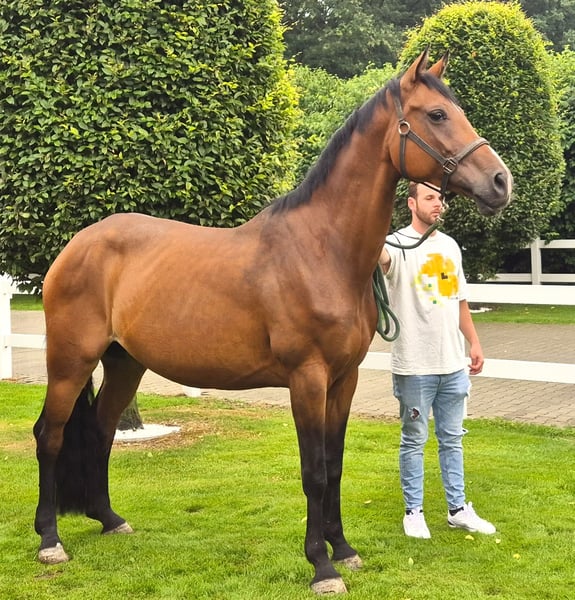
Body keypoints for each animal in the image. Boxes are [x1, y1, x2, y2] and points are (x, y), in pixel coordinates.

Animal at [33, 49, 512, 594]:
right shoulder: (307, 379)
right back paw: (50, 540)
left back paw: (111, 520)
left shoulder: (342, 381)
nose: (501, 182)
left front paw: (344, 550)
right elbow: (314, 472)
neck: (321, 249)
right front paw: (322, 566)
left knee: (103, 431)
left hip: (124, 364)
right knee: (50, 435)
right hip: (70, 360)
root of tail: (77, 245)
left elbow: (335, 464)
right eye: (437, 114)